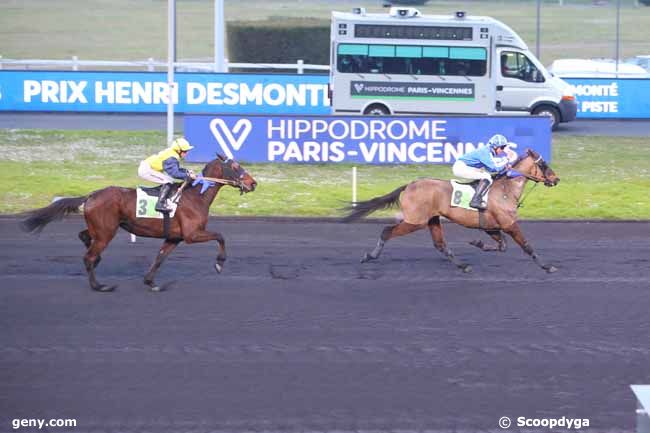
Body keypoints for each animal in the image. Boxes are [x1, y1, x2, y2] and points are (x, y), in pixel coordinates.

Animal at [18, 154, 256, 292]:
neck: (195, 195)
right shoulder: (192, 234)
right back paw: (99, 285)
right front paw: (219, 263)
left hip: (100, 229)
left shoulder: (174, 237)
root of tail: (91, 195)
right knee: (89, 256)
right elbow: (220, 236)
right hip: (107, 232)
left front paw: (150, 282)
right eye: (236, 166)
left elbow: (160, 258)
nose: (253, 183)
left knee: (85, 237)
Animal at [342, 147, 560, 272]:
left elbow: (502, 246)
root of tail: (409, 185)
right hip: (415, 221)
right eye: (544, 164)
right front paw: (547, 266)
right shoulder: (509, 224)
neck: (506, 190)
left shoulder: (491, 226)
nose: (556, 179)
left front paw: (477, 243)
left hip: (432, 219)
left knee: (440, 245)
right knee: (387, 231)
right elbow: (526, 246)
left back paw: (463, 266)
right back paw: (369, 256)